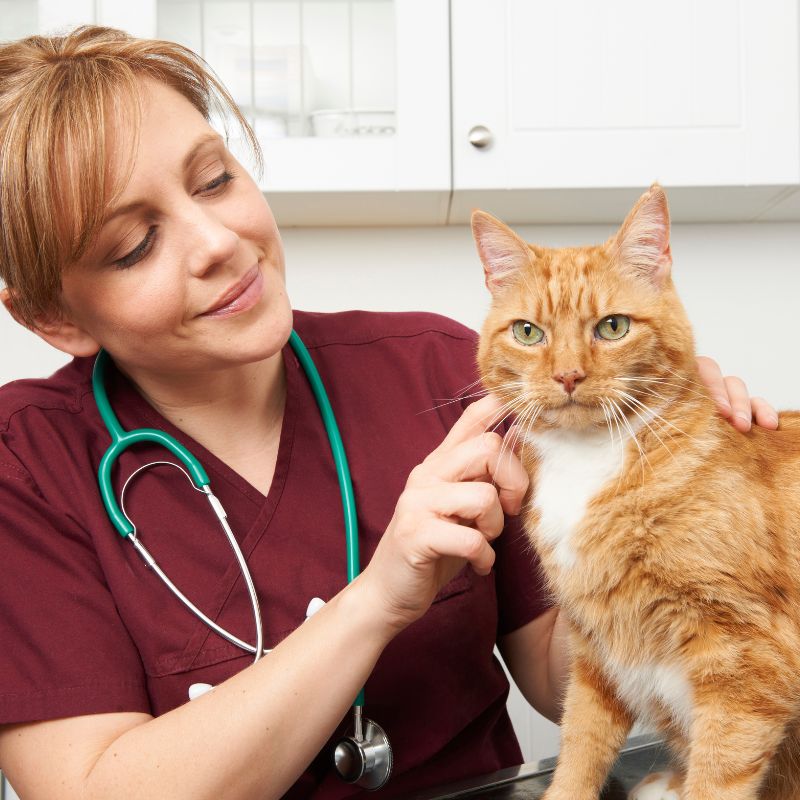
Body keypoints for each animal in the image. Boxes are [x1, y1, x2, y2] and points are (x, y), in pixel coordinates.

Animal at [472, 184, 800, 796]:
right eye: (528, 332)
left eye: (613, 327)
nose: (568, 376)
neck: (589, 462)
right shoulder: (595, 650)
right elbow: (581, 745)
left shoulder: (747, 661)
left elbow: (717, 777)